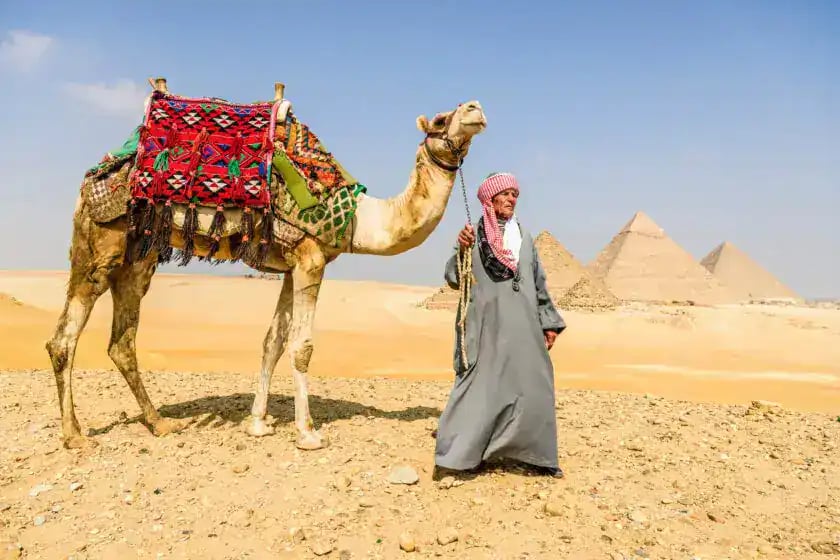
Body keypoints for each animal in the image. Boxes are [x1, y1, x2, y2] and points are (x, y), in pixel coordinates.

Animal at [46, 79, 487, 451]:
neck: (359, 217)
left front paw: (257, 423)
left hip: (138, 255)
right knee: (64, 338)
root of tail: (93, 177)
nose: (475, 106)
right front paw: (307, 433)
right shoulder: (310, 258)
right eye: (441, 119)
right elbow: (301, 347)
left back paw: (160, 423)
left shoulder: (291, 268)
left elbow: (272, 342)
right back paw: (74, 435)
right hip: (102, 240)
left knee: (122, 340)